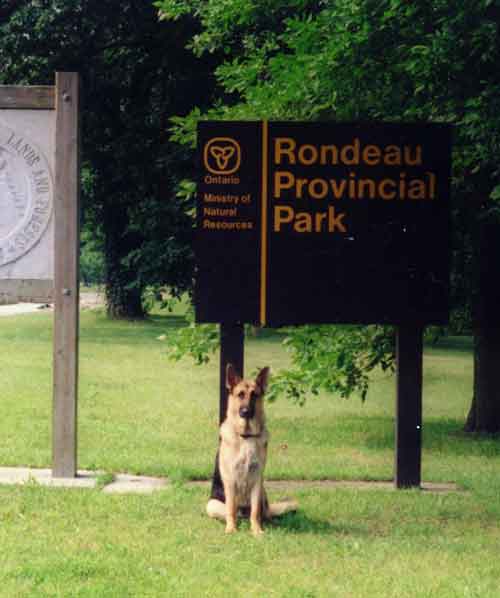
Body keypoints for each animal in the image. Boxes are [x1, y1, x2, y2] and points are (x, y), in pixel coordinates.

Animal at [207, 366, 296, 540]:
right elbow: (231, 509)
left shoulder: (256, 481)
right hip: (212, 504)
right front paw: (231, 529)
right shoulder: (230, 481)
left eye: (254, 394)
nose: (246, 411)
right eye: (240, 394)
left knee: (262, 513)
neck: (246, 436)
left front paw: (256, 530)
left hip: (262, 492)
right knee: (232, 513)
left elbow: (255, 512)